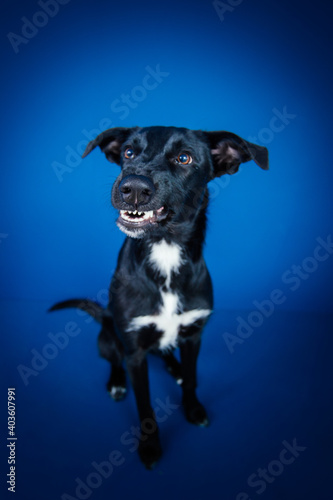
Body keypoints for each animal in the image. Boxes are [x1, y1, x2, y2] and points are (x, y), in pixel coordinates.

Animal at [49, 125, 268, 468]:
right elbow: (145, 404)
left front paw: (193, 408)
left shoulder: (194, 334)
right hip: (108, 336)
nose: (133, 188)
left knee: (166, 353)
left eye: (184, 158)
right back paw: (117, 382)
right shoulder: (135, 352)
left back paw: (173, 368)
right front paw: (150, 445)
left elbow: (191, 379)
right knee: (114, 358)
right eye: (128, 152)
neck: (165, 250)